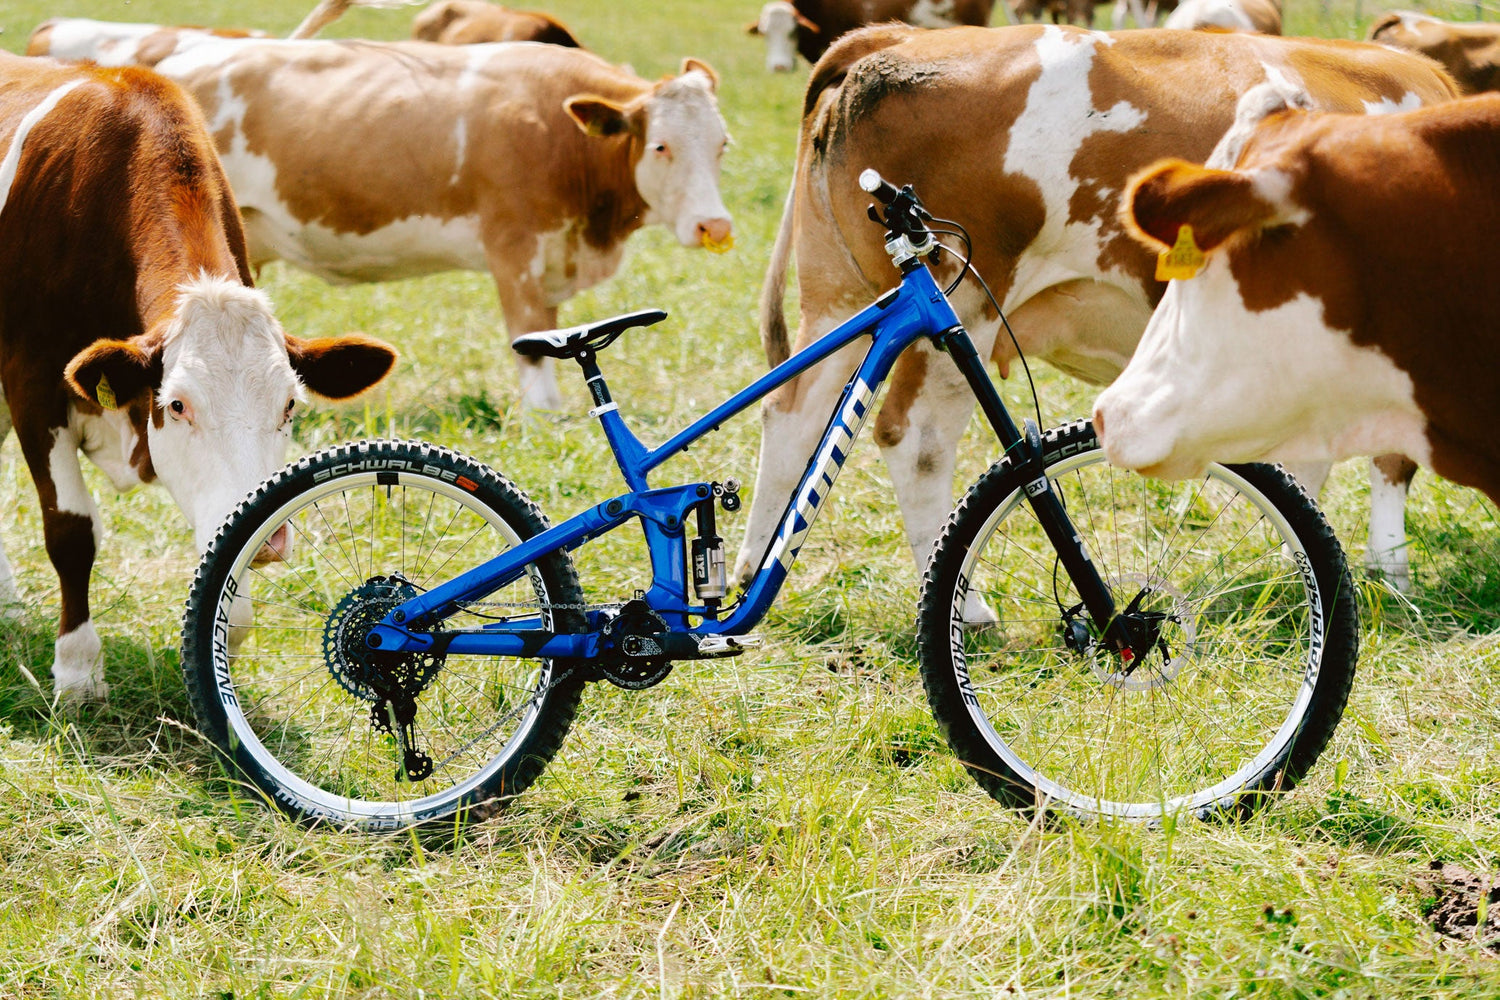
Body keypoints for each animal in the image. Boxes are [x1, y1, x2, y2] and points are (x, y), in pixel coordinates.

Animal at [0, 54, 396, 700]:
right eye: (179, 405)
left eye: (290, 406)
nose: (274, 539)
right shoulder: (32, 384)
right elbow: (71, 531)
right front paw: (78, 670)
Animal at [27, 28, 733, 412]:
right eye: (661, 146)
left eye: (723, 142)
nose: (715, 227)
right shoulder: (513, 247)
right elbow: (530, 341)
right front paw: (545, 415)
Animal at [738, 25, 1459, 603]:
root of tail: (893, 38)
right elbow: (1393, 459)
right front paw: (1392, 577)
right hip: (963, 300)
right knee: (916, 440)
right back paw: (972, 610)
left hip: (839, 296)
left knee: (793, 413)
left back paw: (746, 574)